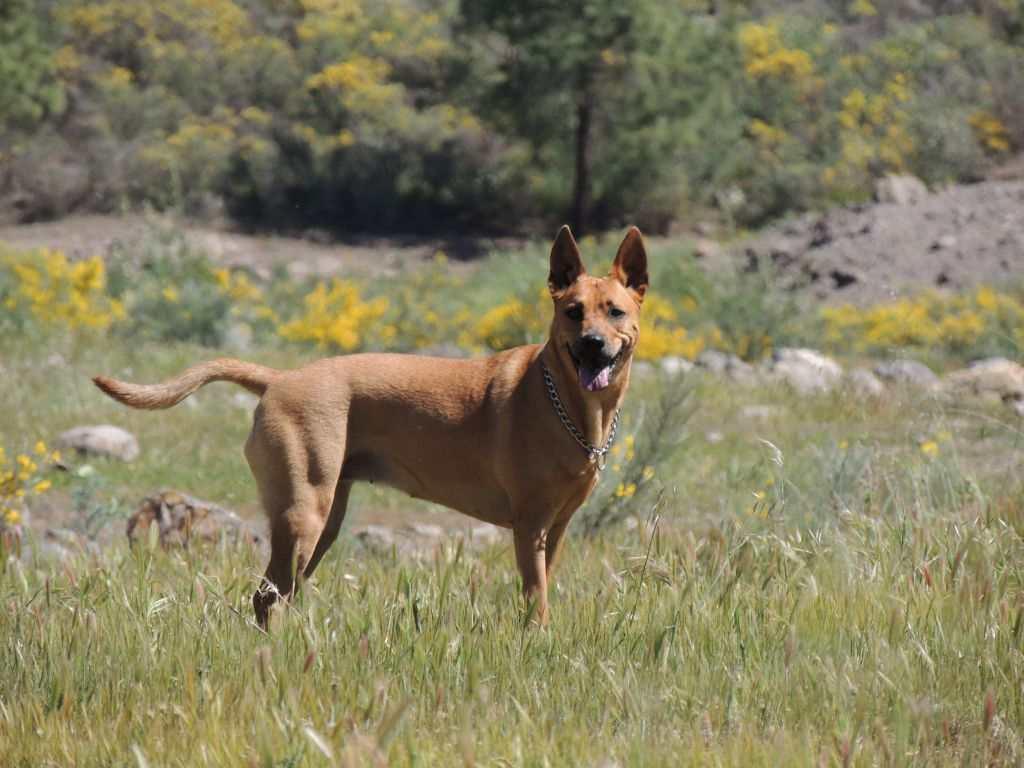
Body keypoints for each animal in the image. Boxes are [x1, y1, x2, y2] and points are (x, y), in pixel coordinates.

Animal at [90, 225, 647, 626]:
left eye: (615, 312)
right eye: (573, 312)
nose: (594, 344)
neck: (569, 406)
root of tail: (279, 378)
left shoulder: (555, 529)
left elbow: (540, 590)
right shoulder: (529, 525)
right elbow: (537, 601)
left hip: (324, 520)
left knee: (277, 595)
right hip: (304, 514)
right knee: (268, 596)